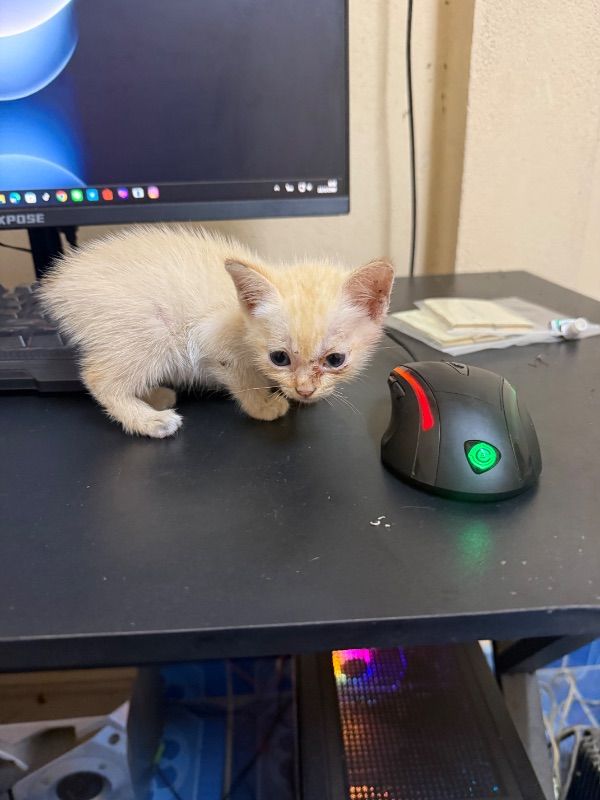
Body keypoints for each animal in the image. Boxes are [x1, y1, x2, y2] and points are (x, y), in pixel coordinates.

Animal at [40, 226, 394, 438]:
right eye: (279, 358)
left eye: (335, 360)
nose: (305, 391)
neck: (242, 318)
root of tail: (59, 284)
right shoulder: (211, 342)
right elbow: (244, 382)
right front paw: (264, 406)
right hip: (152, 333)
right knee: (99, 377)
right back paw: (150, 420)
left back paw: (156, 396)